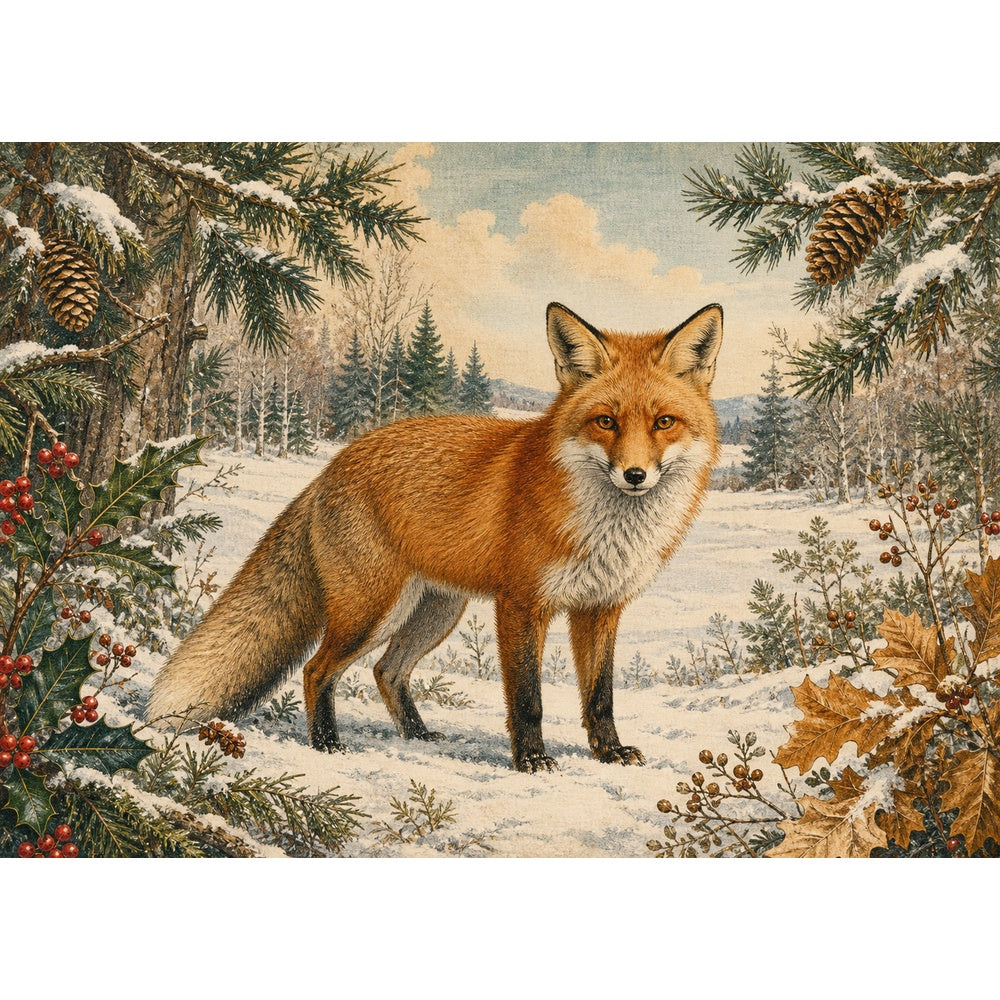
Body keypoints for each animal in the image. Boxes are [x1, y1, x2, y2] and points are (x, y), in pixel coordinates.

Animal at [149, 301, 723, 773]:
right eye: (606, 421)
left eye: (664, 422)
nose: (634, 475)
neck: (606, 531)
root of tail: (333, 465)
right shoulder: (521, 605)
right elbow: (528, 699)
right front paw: (532, 760)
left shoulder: (602, 607)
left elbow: (599, 697)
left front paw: (608, 752)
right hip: (372, 610)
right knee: (316, 669)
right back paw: (327, 744)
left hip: (435, 611)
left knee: (386, 671)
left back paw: (418, 737)